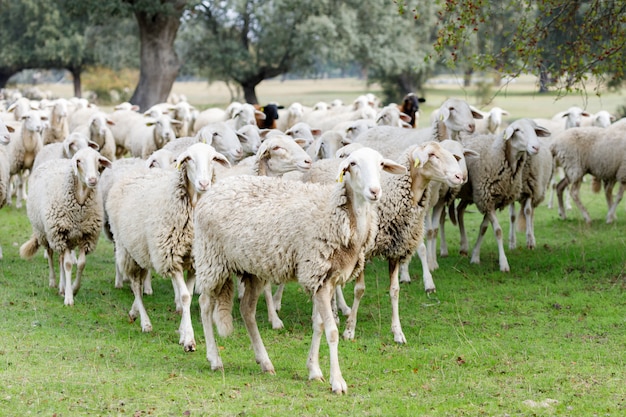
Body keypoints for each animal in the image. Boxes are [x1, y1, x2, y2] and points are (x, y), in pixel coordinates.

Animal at [19, 148, 112, 304]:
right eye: (79, 161)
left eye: (98, 160)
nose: (93, 180)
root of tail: (55, 160)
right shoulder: (61, 233)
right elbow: (68, 264)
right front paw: (69, 298)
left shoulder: (86, 236)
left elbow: (80, 264)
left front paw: (74, 288)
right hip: (46, 234)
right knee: (51, 256)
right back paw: (53, 281)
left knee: (61, 259)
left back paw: (62, 286)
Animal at [106, 143, 230, 352]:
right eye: (189, 159)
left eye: (213, 158)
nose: (204, 183)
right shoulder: (172, 258)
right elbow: (185, 296)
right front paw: (188, 339)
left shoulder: (194, 261)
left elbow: (188, 295)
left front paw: (182, 332)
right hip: (127, 250)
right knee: (135, 286)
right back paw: (145, 322)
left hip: (141, 249)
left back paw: (134, 312)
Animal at [195, 147, 408, 394]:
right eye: (353, 164)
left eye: (381, 164)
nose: (375, 191)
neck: (337, 213)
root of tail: (214, 189)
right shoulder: (317, 272)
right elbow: (331, 331)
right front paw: (337, 381)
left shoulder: (323, 279)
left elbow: (319, 325)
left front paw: (314, 370)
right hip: (211, 259)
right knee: (205, 305)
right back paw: (214, 359)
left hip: (252, 269)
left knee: (246, 310)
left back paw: (265, 362)